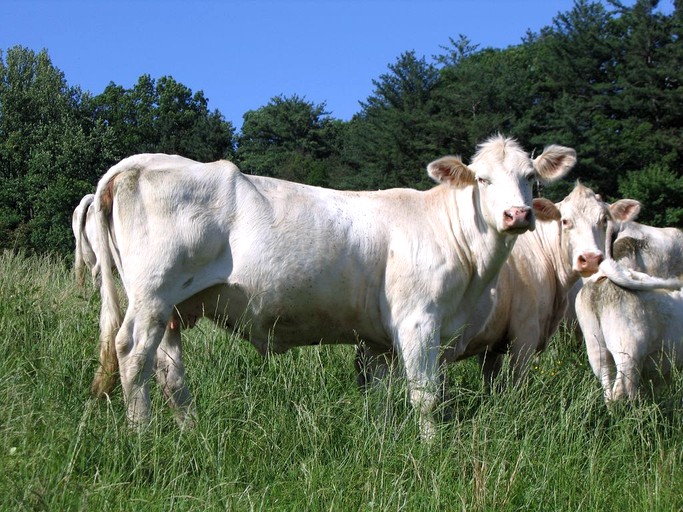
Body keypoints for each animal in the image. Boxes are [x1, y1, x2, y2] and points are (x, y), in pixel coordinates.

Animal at [88, 135, 576, 436]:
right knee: (132, 352)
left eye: (531, 178)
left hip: (173, 307)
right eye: (482, 179)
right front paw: (431, 447)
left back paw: (189, 433)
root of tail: (138, 163)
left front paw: (382, 442)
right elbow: (425, 395)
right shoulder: (418, 321)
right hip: (153, 294)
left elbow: (379, 397)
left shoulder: (378, 340)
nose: (518, 215)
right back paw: (142, 434)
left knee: (170, 371)